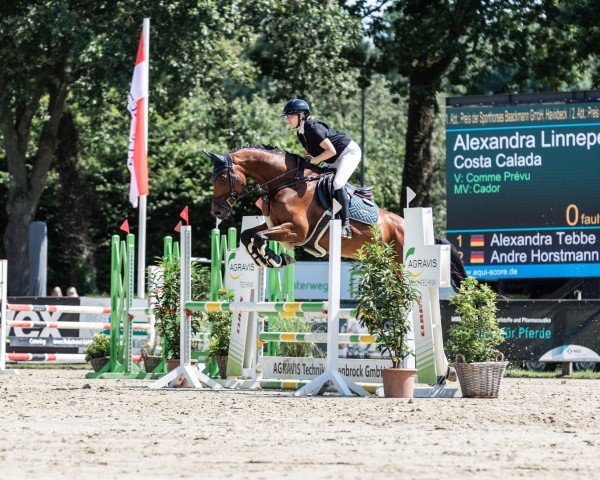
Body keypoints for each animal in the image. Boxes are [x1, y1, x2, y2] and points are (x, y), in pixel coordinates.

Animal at [206, 145, 468, 288]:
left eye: (222, 178)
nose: (217, 212)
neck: (286, 183)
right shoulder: (276, 225)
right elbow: (248, 235)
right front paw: (270, 259)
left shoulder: (296, 230)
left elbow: (259, 237)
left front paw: (275, 258)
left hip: (398, 263)